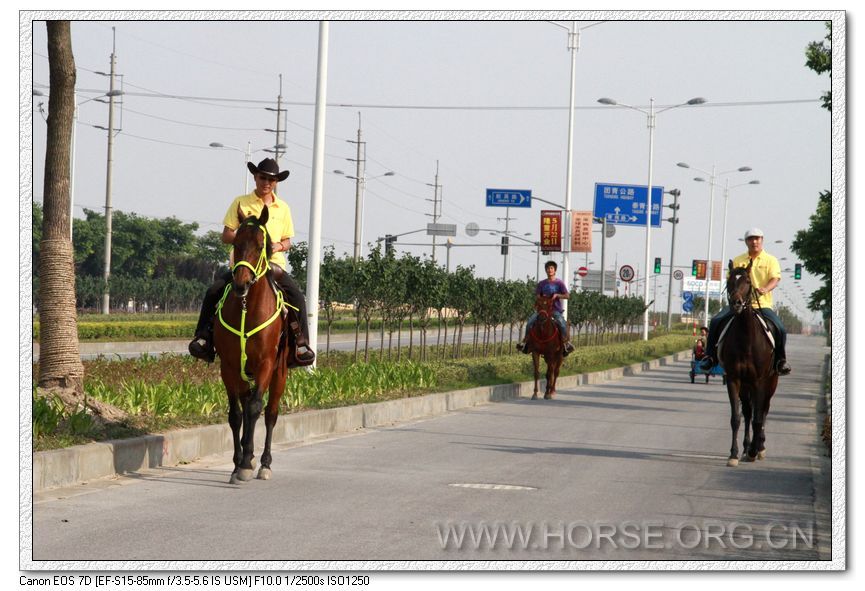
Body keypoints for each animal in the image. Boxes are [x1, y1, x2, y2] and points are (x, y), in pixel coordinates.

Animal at [213, 206, 290, 484]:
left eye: (260, 246)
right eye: (235, 243)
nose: (241, 284)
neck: (248, 307)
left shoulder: (266, 363)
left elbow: (257, 408)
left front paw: (247, 463)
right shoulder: (229, 365)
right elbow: (236, 414)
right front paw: (238, 464)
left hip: (280, 372)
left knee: (270, 413)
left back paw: (264, 462)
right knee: (246, 407)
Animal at [720, 262, 780, 470]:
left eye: (747, 281)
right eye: (730, 280)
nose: (736, 303)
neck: (746, 339)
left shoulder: (759, 381)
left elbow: (758, 418)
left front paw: (754, 451)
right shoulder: (734, 379)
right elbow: (736, 418)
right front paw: (734, 454)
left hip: (770, 383)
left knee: (763, 411)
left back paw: (759, 447)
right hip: (745, 386)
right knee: (747, 411)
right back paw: (747, 448)